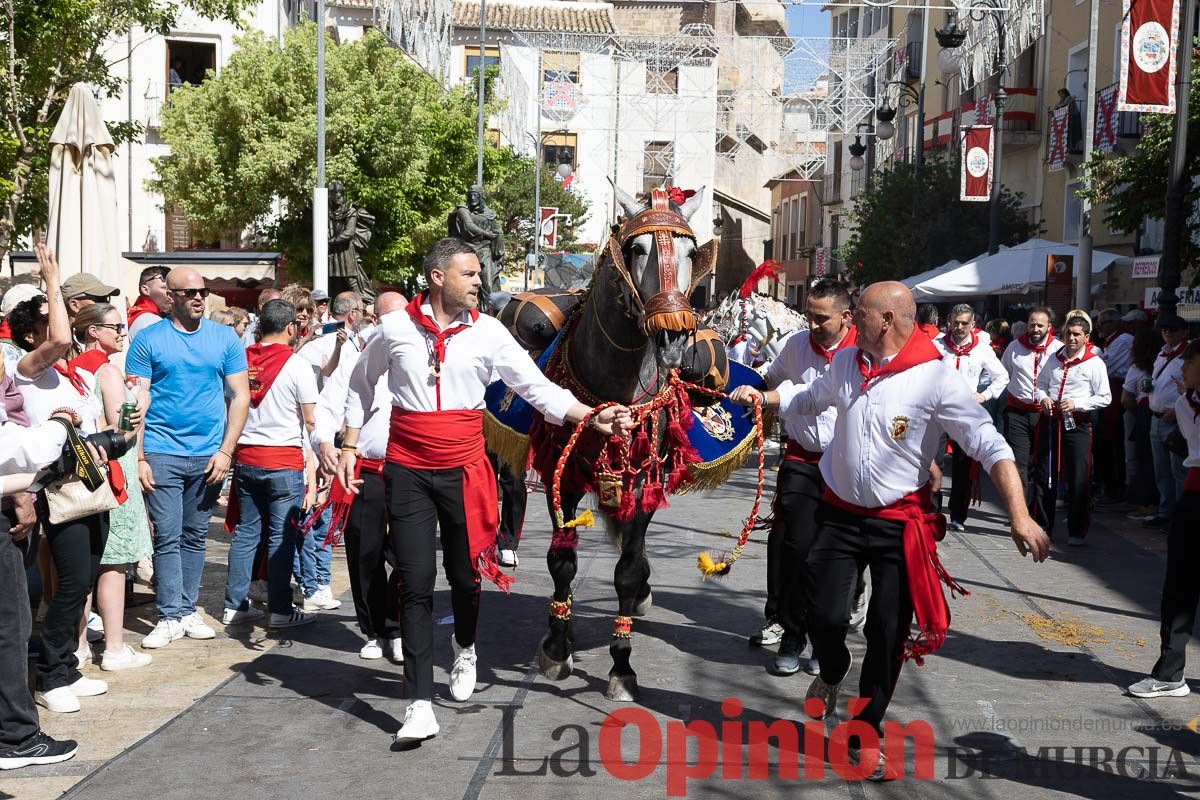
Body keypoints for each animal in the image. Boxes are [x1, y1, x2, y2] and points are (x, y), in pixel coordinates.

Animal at [523, 185, 710, 700]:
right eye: (638, 248)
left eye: (691, 253)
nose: (673, 338)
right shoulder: (562, 476)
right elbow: (561, 560)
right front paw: (556, 648)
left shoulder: (642, 479)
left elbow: (627, 570)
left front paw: (621, 667)